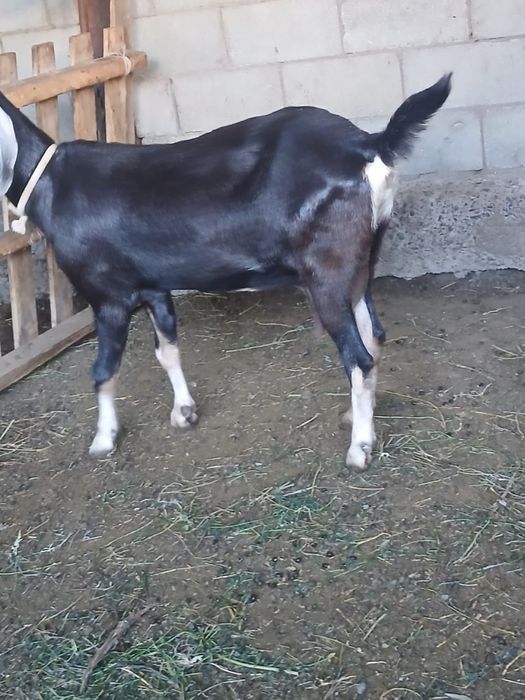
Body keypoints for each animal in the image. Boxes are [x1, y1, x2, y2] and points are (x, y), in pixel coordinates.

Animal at [0, 74, 451, 469]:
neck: (49, 182)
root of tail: (369, 143)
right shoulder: (154, 287)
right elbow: (167, 350)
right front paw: (184, 412)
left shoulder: (108, 295)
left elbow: (103, 371)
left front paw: (103, 438)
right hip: (360, 265)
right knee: (373, 338)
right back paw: (357, 417)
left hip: (326, 273)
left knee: (358, 357)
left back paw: (359, 448)